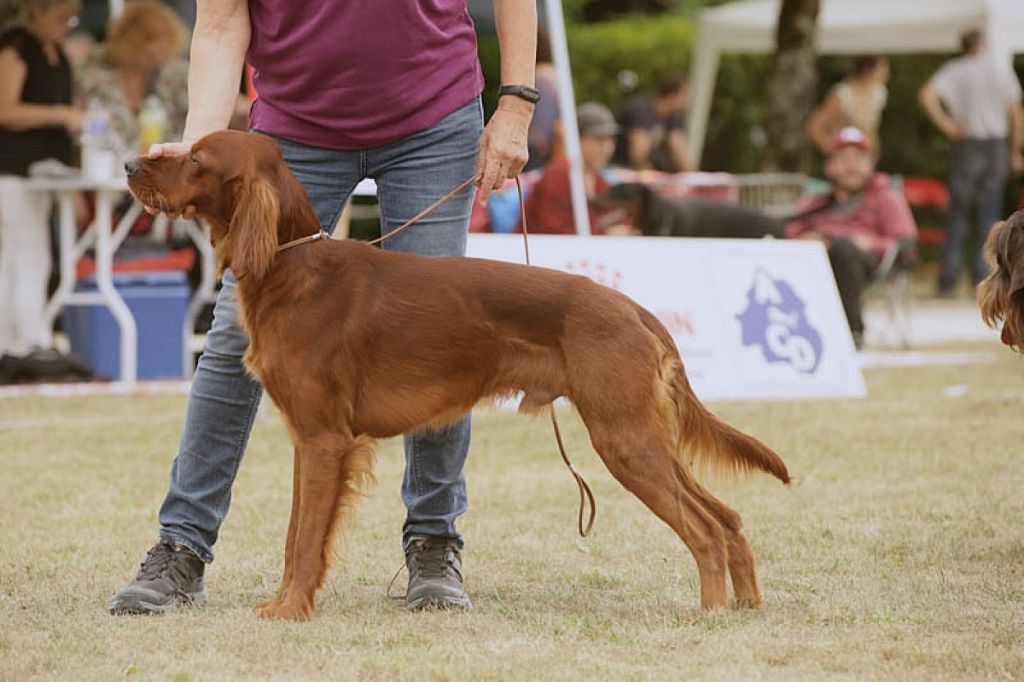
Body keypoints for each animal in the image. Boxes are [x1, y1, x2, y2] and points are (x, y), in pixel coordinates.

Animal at [125, 130, 790, 618]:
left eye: (196, 158)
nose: (132, 163)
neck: (295, 269)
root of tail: (636, 311)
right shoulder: (309, 441)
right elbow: (295, 535)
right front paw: (288, 603)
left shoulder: (323, 440)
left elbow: (306, 539)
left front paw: (288, 611)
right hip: (642, 437)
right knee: (728, 518)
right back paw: (746, 607)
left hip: (623, 438)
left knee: (704, 529)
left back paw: (708, 613)